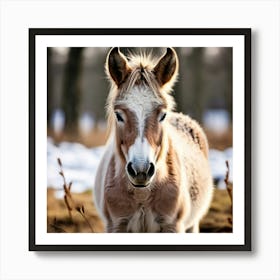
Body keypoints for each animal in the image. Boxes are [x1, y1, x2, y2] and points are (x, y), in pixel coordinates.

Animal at [94, 47, 212, 232]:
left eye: (163, 115)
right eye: (118, 115)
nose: (140, 170)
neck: (142, 194)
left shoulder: (172, 226)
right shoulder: (117, 226)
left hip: (192, 225)